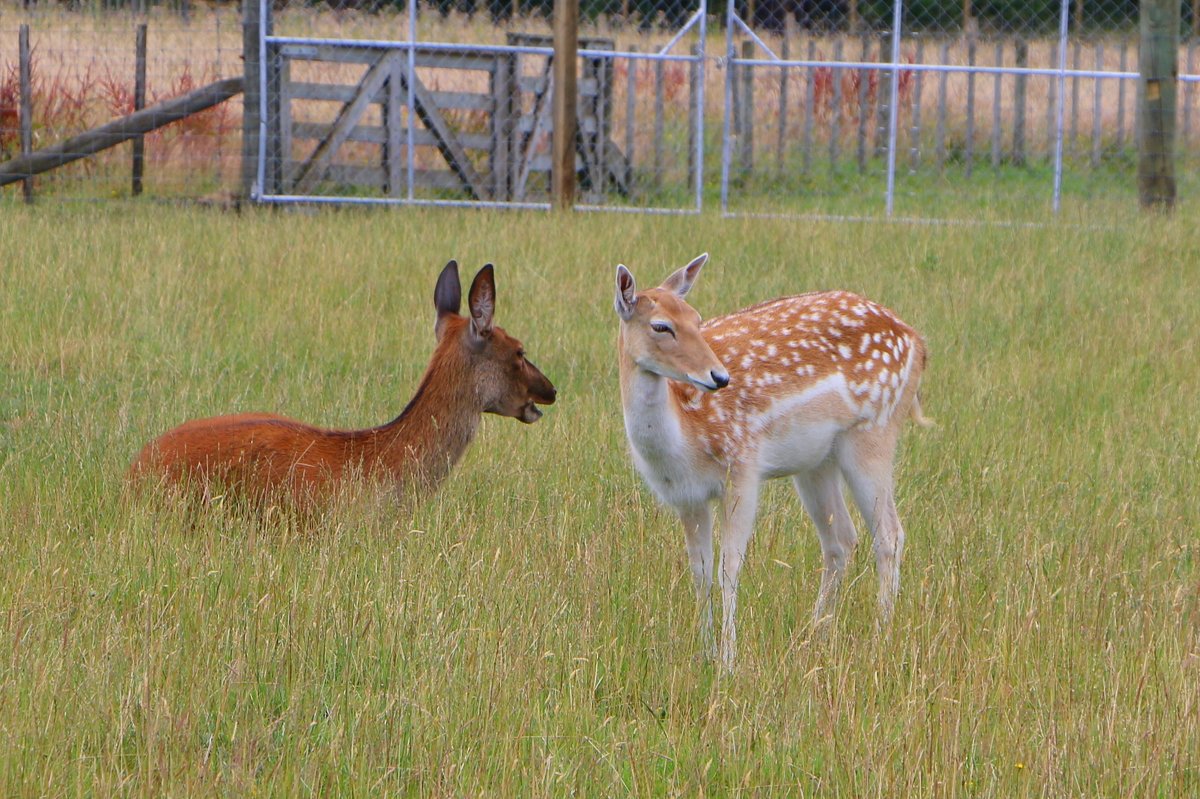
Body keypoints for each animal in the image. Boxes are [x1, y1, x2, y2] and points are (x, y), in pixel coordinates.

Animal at [614, 253, 931, 667]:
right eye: (661, 326)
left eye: (697, 318)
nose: (719, 377)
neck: (685, 437)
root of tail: (917, 342)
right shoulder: (686, 497)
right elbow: (699, 572)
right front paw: (704, 652)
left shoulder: (743, 467)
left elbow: (729, 567)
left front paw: (728, 661)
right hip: (817, 461)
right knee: (842, 539)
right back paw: (815, 635)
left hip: (874, 430)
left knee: (889, 534)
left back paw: (881, 636)